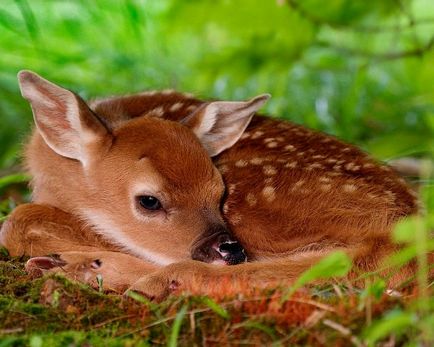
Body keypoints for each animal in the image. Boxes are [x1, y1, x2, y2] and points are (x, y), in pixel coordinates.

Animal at [0, 70, 420, 300]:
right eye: (149, 201)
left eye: (220, 192)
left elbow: (16, 223)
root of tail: (407, 226)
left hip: (265, 211)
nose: (230, 249)